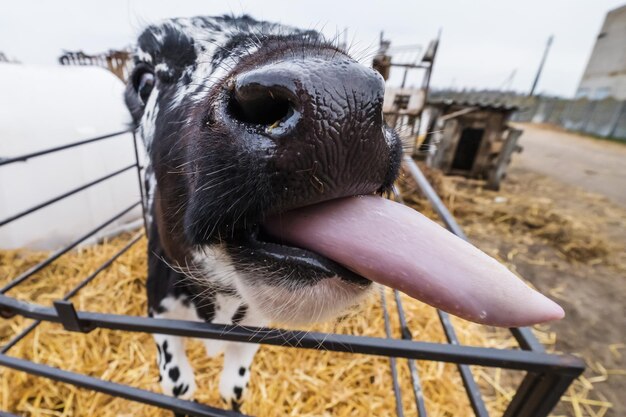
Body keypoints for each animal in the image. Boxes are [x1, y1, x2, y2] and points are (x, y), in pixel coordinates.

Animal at [125, 14, 560, 412]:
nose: (339, 99)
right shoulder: (161, 316)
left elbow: (233, 389)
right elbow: (180, 386)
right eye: (143, 80)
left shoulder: (253, 329)